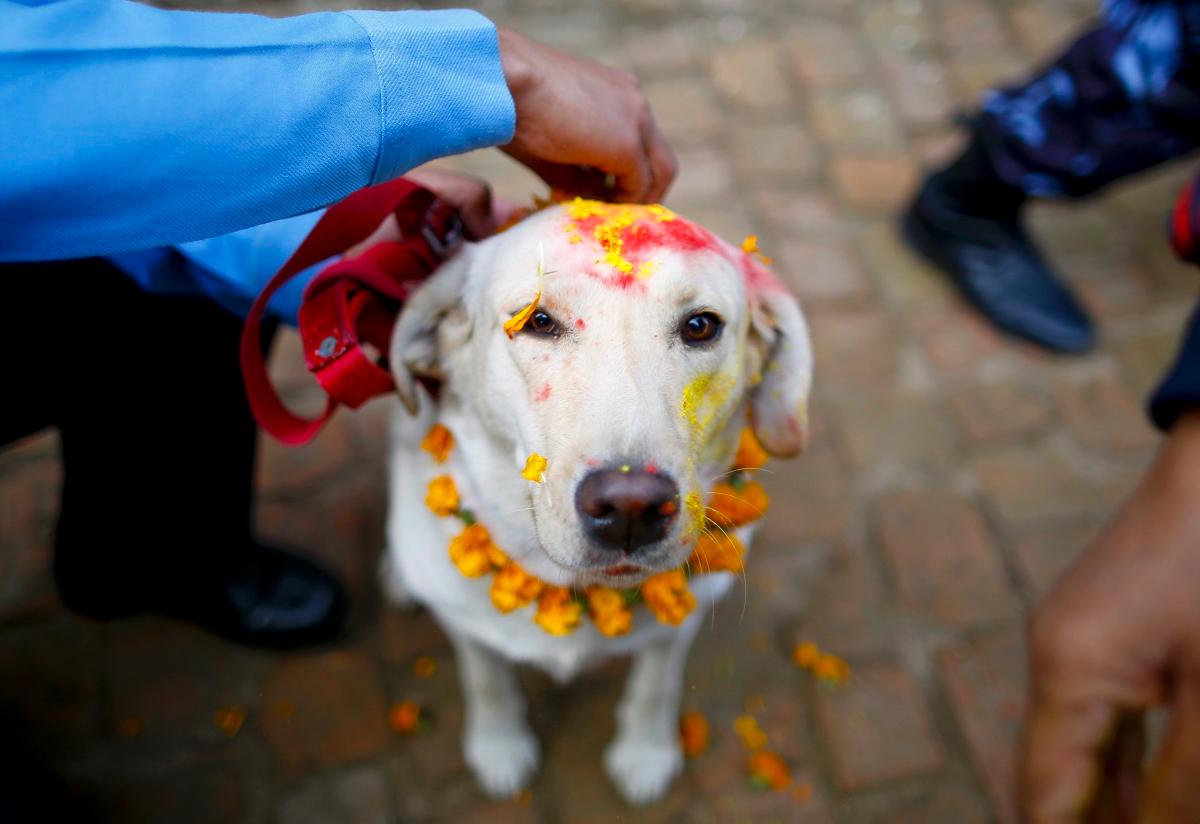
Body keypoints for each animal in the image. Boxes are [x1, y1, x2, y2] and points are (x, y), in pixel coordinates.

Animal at [384, 201, 816, 806]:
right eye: (538, 321)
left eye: (700, 326)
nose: (631, 508)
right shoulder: (464, 625)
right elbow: (486, 678)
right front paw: (498, 745)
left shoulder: (681, 619)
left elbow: (656, 683)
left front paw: (645, 751)